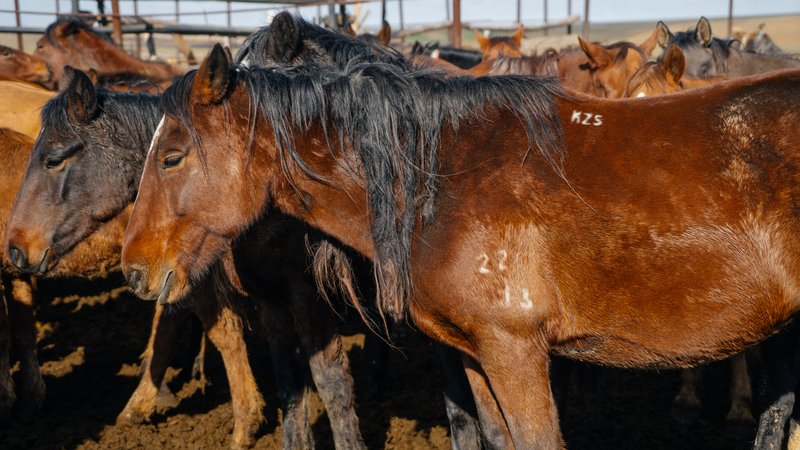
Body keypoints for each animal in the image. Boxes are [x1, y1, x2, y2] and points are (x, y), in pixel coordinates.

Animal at [2, 67, 366, 450]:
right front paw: (143, 403)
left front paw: (245, 423)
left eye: (54, 160)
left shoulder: (304, 296)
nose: (15, 246)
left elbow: (226, 336)